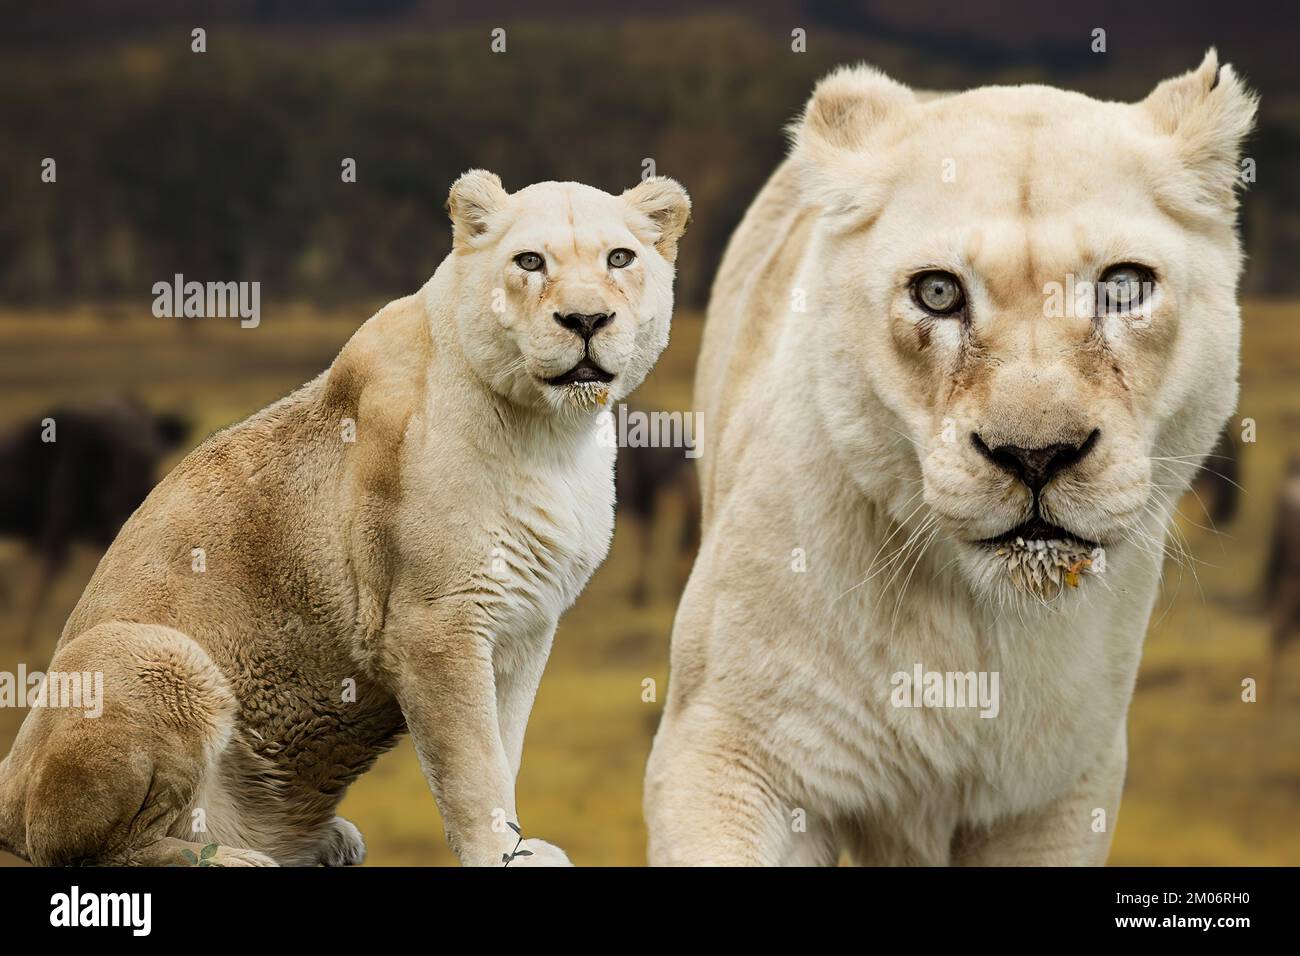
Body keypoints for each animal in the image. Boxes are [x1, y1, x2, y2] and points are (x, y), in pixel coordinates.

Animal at [0, 170, 690, 867]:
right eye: (529, 262)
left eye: (620, 259)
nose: (586, 319)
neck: (553, 435)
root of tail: (8, 786)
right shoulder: (433, 624)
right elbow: (475, 765)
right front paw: (498, 853)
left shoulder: (522, 625)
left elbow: (507, 743)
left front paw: (517, 844)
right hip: (156, 657)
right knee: (98, 848)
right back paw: (235, 858)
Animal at [645, 52, 1255, 866]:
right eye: (938, 292)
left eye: (1124, 287)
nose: (1035, 455)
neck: (979, 624)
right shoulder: (724, 751)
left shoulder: (1059, 797)